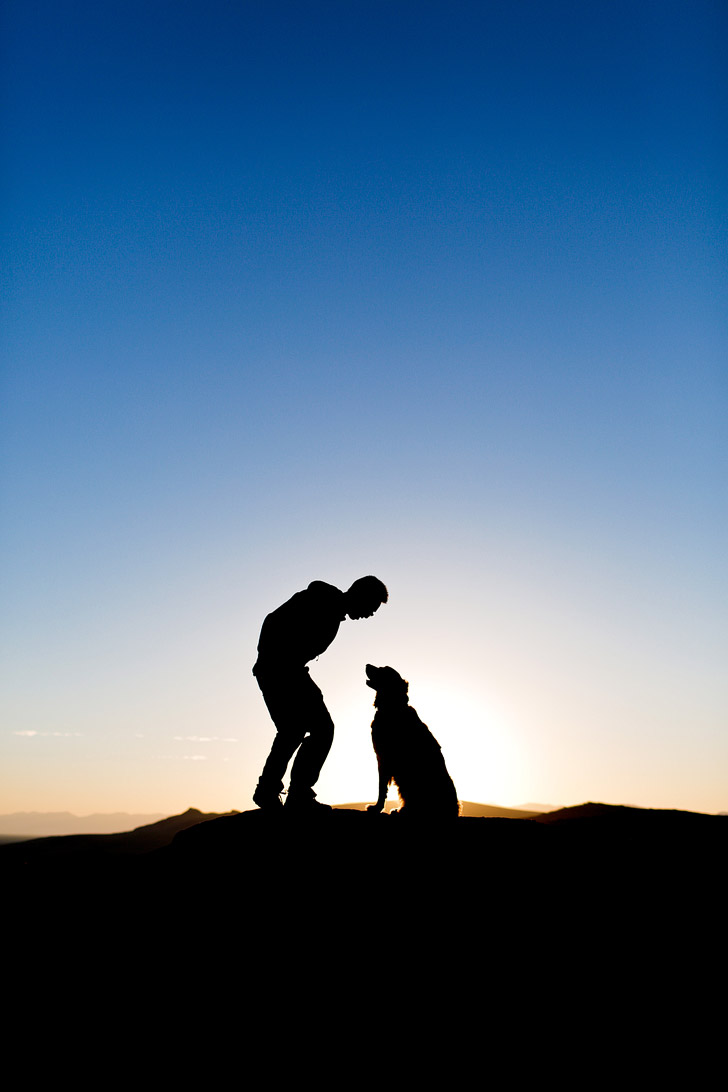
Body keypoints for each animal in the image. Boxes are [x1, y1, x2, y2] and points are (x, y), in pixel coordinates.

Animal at [364, 655, 460, 821]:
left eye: (383, 670)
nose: (367, 665)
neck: (392, 708)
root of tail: (453, 812)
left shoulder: (383, 757)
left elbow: (381, 788)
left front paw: (376, 808)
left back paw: (404, 811)